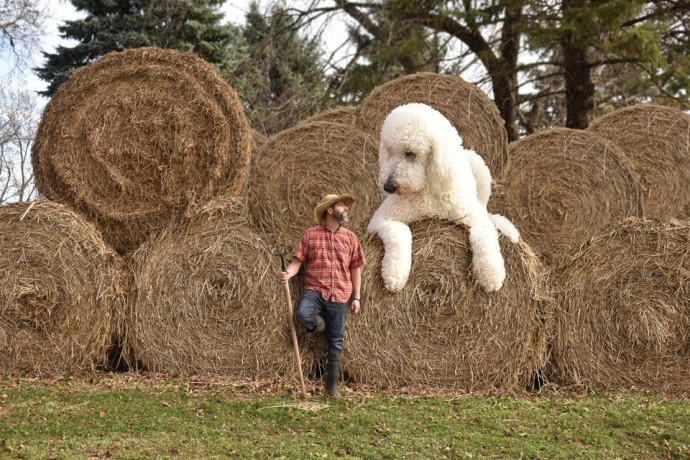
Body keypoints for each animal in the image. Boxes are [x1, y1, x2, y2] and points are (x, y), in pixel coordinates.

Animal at [366, 103, 516, 292]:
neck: (427, 189)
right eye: (389, 151)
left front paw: (491, 274)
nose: (388, 186)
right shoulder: (380, 221)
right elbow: (400, 232)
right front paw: (394, 274)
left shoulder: (477, 219)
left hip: (479, 169)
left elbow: (484, 235)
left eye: (410, 153)